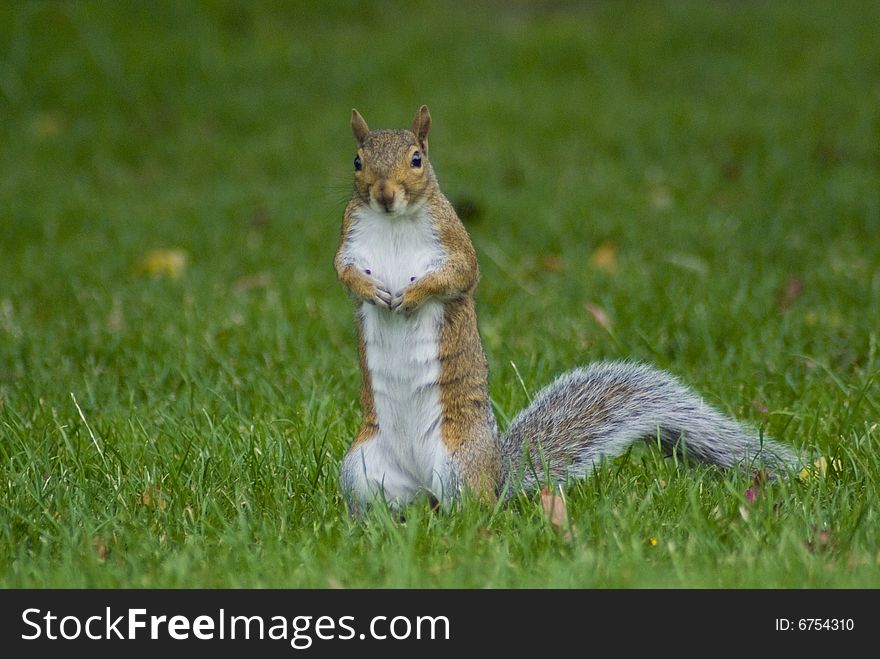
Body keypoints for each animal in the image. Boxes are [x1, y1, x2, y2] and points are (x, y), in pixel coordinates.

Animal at [334, 104, 800, 516]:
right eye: (357, 161)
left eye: (417, 159)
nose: (384, 195)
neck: (394, 223)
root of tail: (497, 476)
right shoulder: (350, 240)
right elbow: (344, 272)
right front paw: (372, 290)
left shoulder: (453, 243)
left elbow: (458, 275)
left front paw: (411, 296)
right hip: (363, 467)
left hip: (457, 465)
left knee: (471, 510)